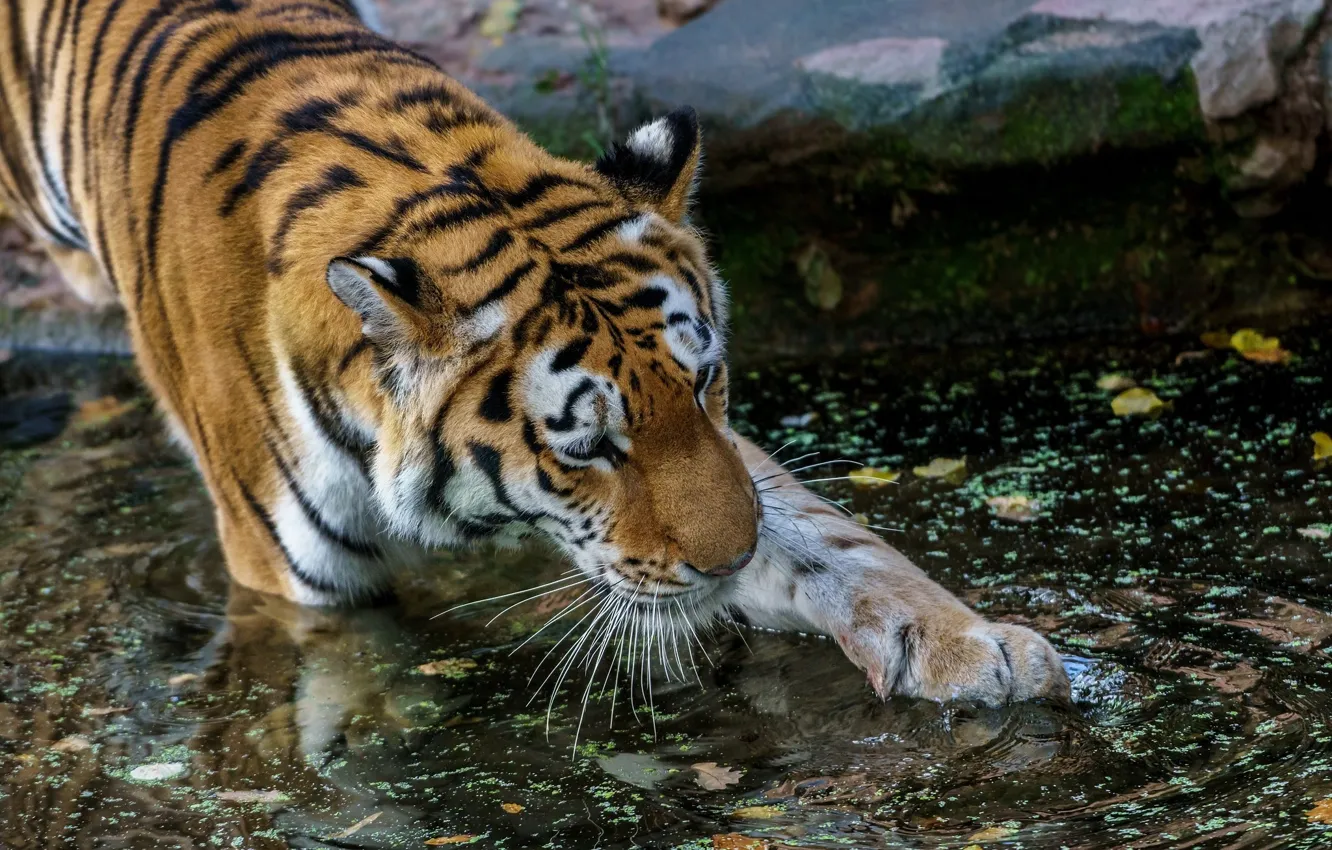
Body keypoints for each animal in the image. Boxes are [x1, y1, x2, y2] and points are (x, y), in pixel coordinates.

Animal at [0, 0, 1070, 706]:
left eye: (707, 383)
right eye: (588, 446)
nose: (728, 562)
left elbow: (831, 540)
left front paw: (972, 645)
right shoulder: (298, 583)